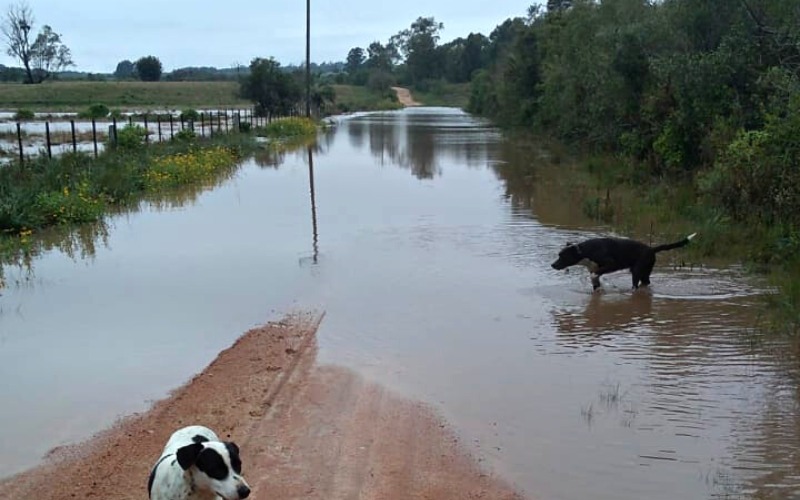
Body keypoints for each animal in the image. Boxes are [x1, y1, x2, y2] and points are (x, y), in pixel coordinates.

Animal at [552, 233, 696, 292]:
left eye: (562, 256)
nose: (553, 265)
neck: (586, 251)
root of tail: (651, 249)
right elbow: (595, 281)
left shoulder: (611, 264)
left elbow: (596, 274)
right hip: (644, 271)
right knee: (646, 283)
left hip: (637, 271)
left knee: (636, 284)